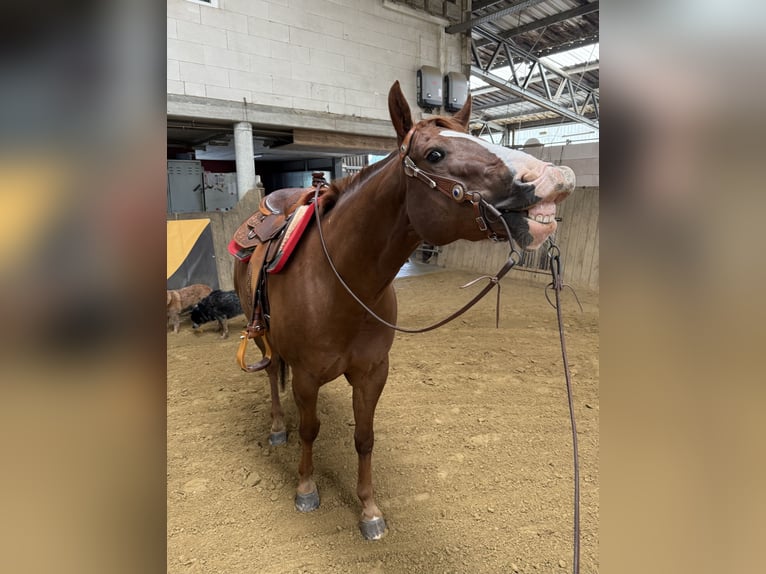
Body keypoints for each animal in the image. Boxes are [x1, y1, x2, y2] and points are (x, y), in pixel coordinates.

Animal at [233, 80, 575, 539]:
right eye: (435, 154)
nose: (553, 178)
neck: (340, 280)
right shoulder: (306, 375)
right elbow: (309, 430)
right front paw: (306, 487)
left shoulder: (373, 373)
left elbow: (365, 437)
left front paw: (369, 509)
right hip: (262, 337)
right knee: (271, 375)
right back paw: (275, 427)